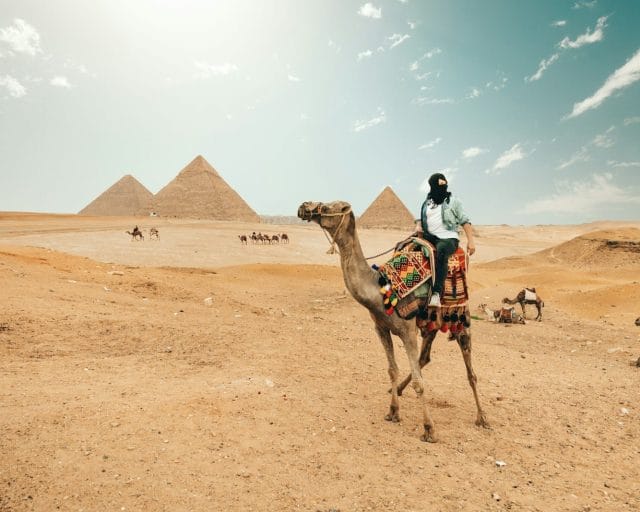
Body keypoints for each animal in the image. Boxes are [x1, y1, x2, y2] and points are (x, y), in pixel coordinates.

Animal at [298, 200, 488, 442]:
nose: (304, 207)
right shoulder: (381, 328)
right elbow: (392, 370)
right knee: (425, 357)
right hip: (430, 324)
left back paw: (483, 417)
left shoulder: (407, 330)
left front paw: (429, 429)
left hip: (460, 319)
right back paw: (397, 390)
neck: (380, 289)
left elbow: (419, 382)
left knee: (470, 372)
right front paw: (393, 411)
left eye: (332, 206)